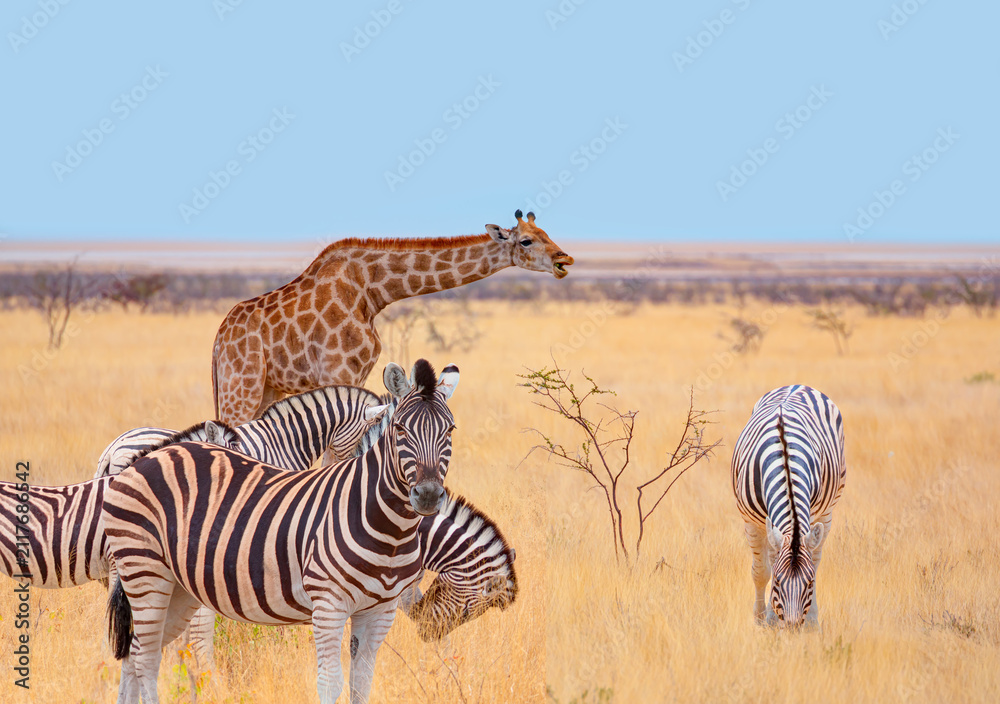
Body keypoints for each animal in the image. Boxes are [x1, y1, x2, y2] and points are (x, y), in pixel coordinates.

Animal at [104, 359, 459, 704]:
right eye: (400, 429)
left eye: (450, 429)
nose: (428, 495)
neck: (390, 531)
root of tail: (145, 455)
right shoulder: (328, 604)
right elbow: (330, 683)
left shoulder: (380, 610)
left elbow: (362, 684)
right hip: (145, 570)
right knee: (146, 658)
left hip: (178, 586)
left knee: (135, 652)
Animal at [731, 384, 846, 627]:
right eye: (777, 582)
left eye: (809, 583)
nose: (793, 627)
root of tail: (798, 385)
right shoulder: (751, 522)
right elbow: (761, 571)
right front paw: (762, 618)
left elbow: (811, 563)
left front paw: (778, 618)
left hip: (827, 512)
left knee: (816, 557)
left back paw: (811, 619)